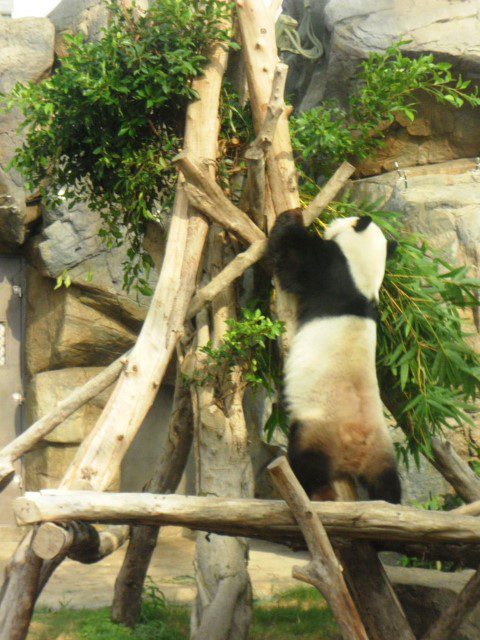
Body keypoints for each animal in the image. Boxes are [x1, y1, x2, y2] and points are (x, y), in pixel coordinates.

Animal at [266, 208, 402, 502]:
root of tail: (357, 449)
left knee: (308, 462)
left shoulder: (328, 270)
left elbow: (291, 256)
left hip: (318, 429)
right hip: (382, 451)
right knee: (388, 482)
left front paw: (292, 216)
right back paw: (391, 501)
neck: (363, 281)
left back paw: (316, 491)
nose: (336, 219)